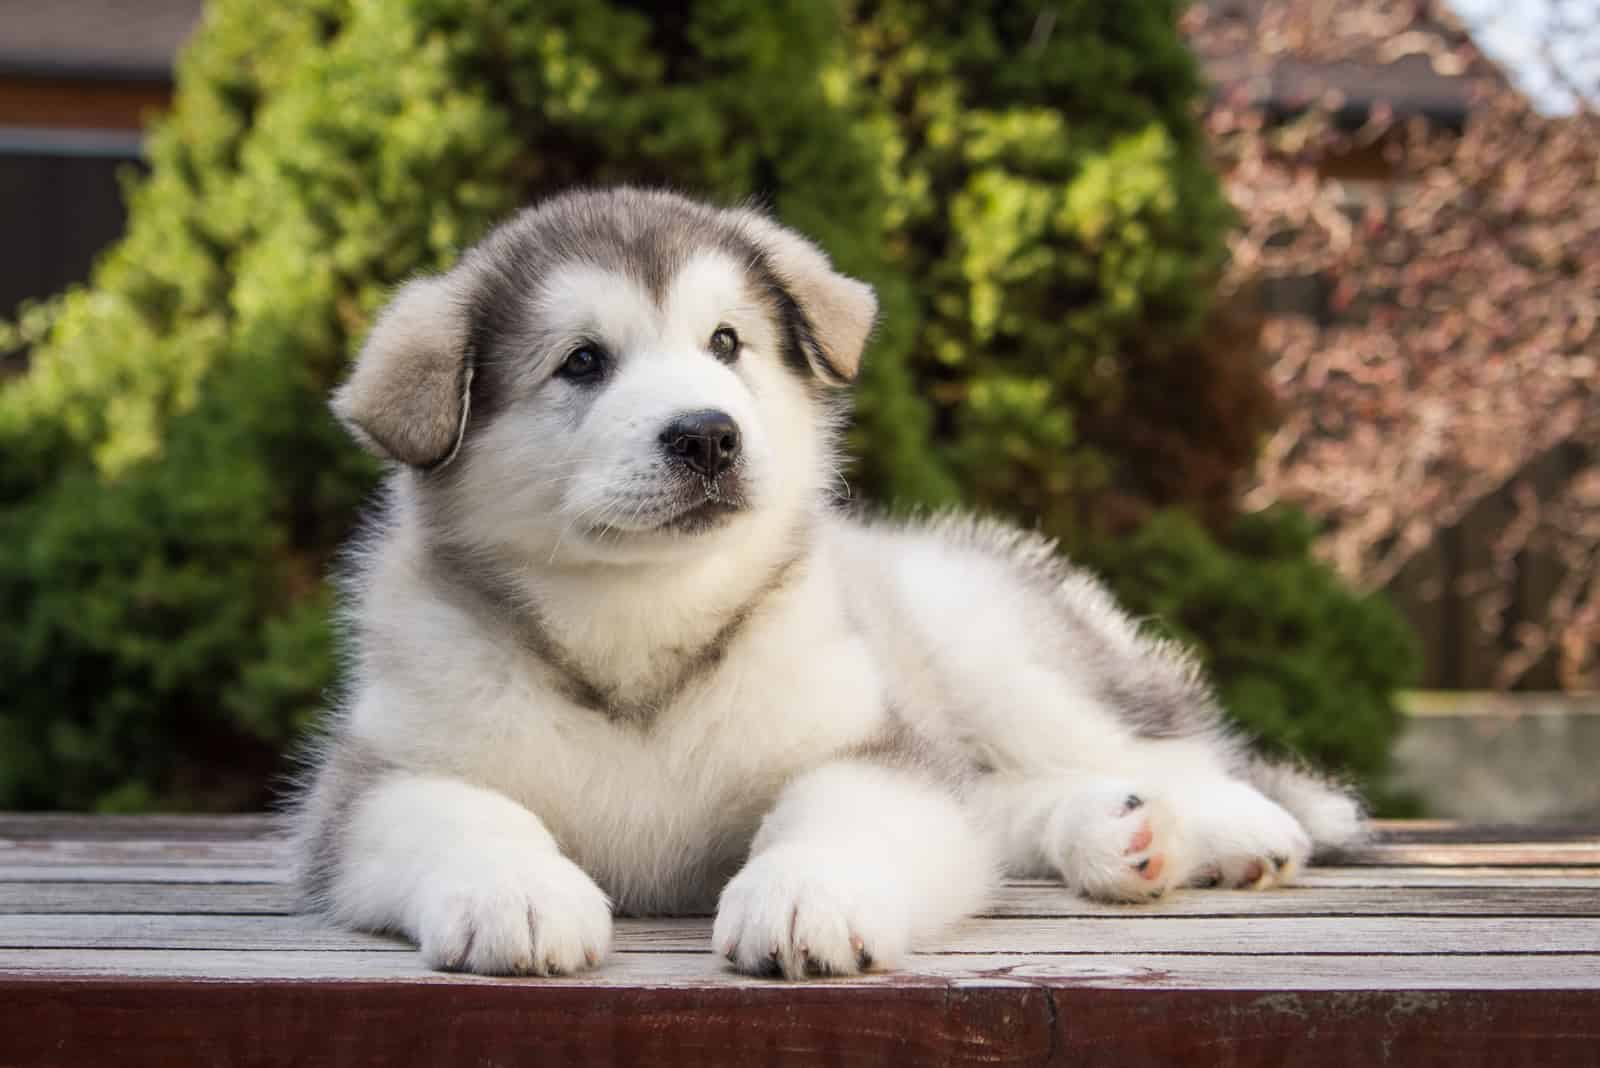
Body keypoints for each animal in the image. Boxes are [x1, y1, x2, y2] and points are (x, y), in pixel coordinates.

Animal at [291, 185, 1363, 978]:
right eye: (583, 362)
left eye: (726, 343)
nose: (708, 434)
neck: (641, 620)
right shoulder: (376, 781)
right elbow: (465, 812)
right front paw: (517, 889)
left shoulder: (871, 747)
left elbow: (841, 813)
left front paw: (806, 894)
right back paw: (1119, 834)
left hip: (987, 647)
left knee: (1146, 748)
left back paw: (1229, 824)